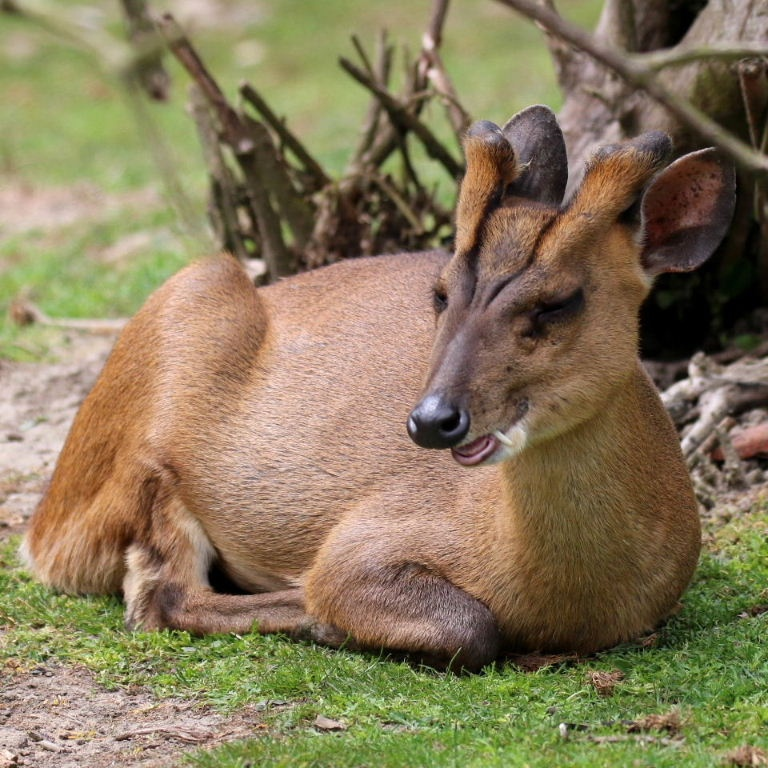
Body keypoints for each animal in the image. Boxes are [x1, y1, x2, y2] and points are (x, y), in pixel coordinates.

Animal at [21, 105, 736, 668]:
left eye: (559, 302)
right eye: (441, 291)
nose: (433, 419)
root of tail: (44, 526)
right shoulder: (364, 539)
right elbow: (469, 625)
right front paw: (328, 616)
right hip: (155, 414)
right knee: (161, 594)